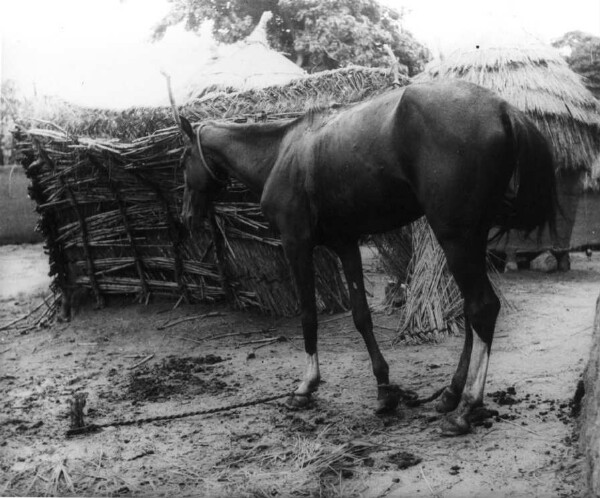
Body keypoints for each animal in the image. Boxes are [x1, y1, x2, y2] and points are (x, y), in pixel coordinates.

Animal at [178, 80, 556, 434]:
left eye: (184, 160)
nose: (187, 217)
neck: (281, 154)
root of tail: (503, 108)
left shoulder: (296, 245)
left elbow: (308, 315)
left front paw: (306, 386)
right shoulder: (345, 245)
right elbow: (361, 316)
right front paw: (384, 389)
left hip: (456, 238)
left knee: (482, 307)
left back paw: (467, 406)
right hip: (470, 239)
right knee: (470, 309)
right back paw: (451, 393)